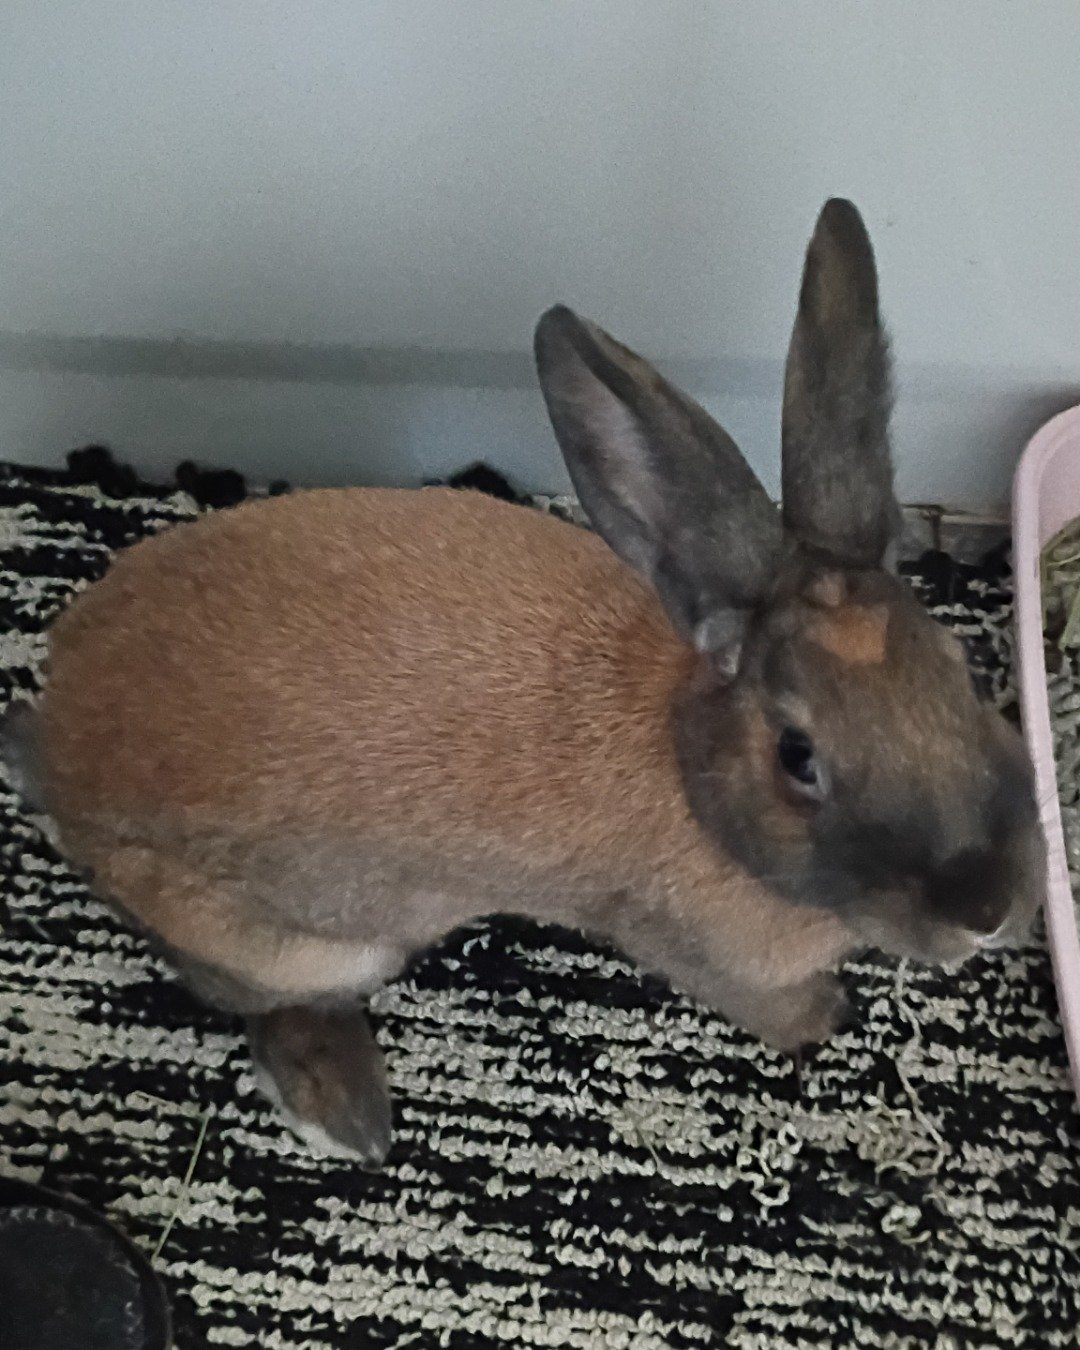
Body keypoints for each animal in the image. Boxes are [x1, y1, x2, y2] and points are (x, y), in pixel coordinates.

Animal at [1, 199, 1042, 1169]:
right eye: (800, 756)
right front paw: (827, 1018)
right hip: (301, 939)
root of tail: (55, 742)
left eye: (957, 670)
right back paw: (346, 1113)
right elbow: (768, 1003)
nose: (989, 911)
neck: (690, 760)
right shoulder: (698, 950)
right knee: (254, 996)